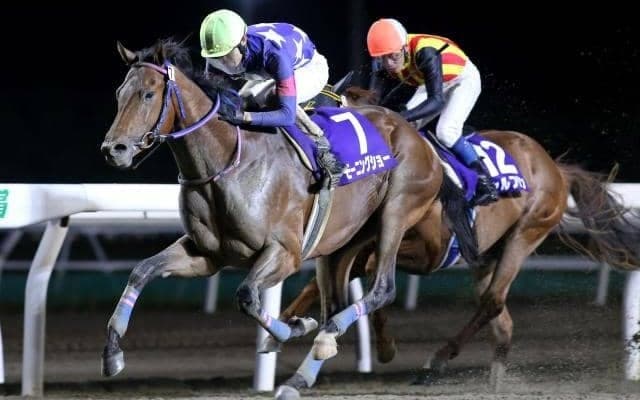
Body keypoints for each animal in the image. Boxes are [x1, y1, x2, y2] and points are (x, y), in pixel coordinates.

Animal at [98, 39, 470, 380]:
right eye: (118, 93)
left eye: (148, 94)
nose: (113, 149)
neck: (228, 162)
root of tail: (417, 136)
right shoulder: (206, 255)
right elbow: (142, 270)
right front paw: (112, 352)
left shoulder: (286, 252)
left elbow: (247, 296)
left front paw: (294, 328)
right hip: (341, 242)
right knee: (335, 302)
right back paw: (309, 366)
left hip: (397, 210)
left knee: (382, 289)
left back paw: (324, 340)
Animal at [269, 87, 640, 399]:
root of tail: (555, 167)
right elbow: (327, 283)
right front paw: (286, 324)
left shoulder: (429, 253)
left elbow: (374, 274)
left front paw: (383, 346)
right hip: (486, 256)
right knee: (502, 321)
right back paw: (494, 383)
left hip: (527, 233)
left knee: (492, 302)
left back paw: (435, 362)